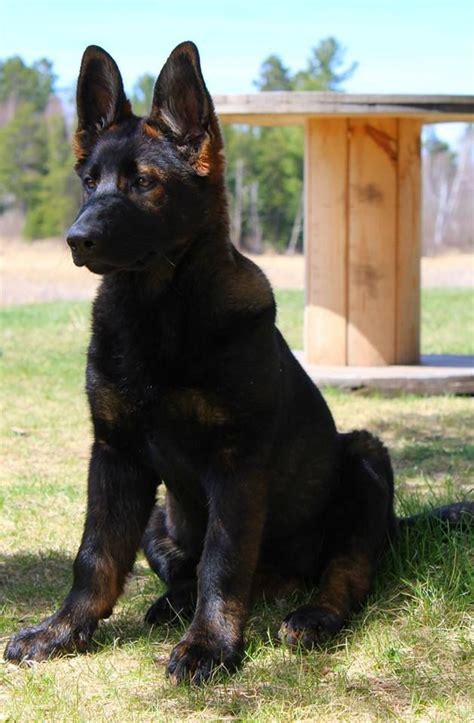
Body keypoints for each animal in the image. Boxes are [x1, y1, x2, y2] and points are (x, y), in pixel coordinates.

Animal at [5, 41, 472, 684]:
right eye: (90, 182)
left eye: (143, 183)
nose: (77, 239)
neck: (158, 315)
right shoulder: (114, 455)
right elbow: (95, 556)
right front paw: (61, 631)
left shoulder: (234, 464)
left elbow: (222, 563)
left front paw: (210, 646)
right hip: (160, 521)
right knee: (210, 570)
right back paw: (175, 603)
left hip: (364, 460)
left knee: (345, 574)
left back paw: (311, 617)